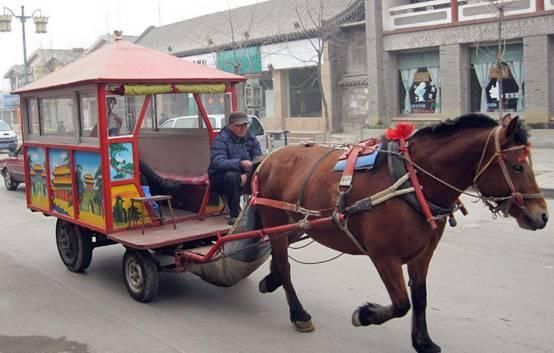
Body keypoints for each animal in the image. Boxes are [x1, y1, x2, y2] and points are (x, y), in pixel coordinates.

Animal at [252, 113, 544, 352]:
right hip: (275, 221)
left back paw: (271, 280)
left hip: (297, 225)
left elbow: (420, 297)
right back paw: (298, 313)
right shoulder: (384, 257)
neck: (413, 183)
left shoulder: (422, 255)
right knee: (285, 265)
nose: (542, 215)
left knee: (280, 257)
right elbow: (402, 303)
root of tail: (268, 159)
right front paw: (365, 315)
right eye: (517, 166)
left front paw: (423, 341)